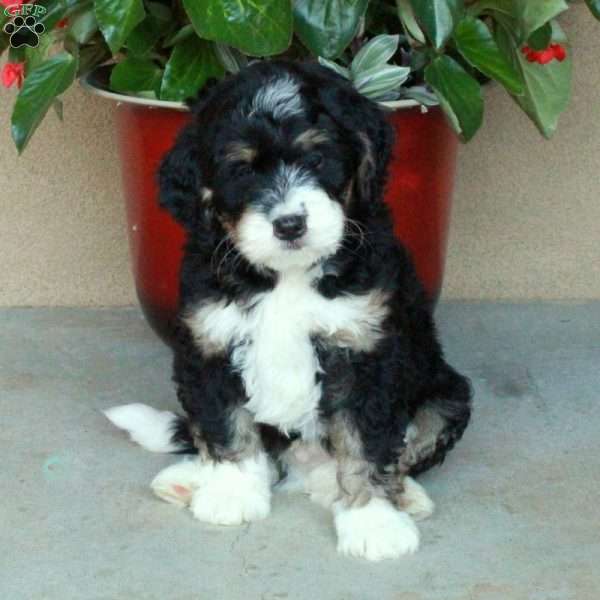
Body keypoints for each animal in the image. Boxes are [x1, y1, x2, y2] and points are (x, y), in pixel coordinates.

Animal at [106, 58, 474, 560]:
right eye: (242, 170)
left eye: (317, 158)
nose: (289, 224)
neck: (286, 275)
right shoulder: (209, 344)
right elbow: (224, 425)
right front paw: (231, 493)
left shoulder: (367, 353)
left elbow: (367, 441)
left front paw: (373, 520)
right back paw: (191, 479)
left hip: (447, 393)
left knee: (408, 442)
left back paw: (402, 496)